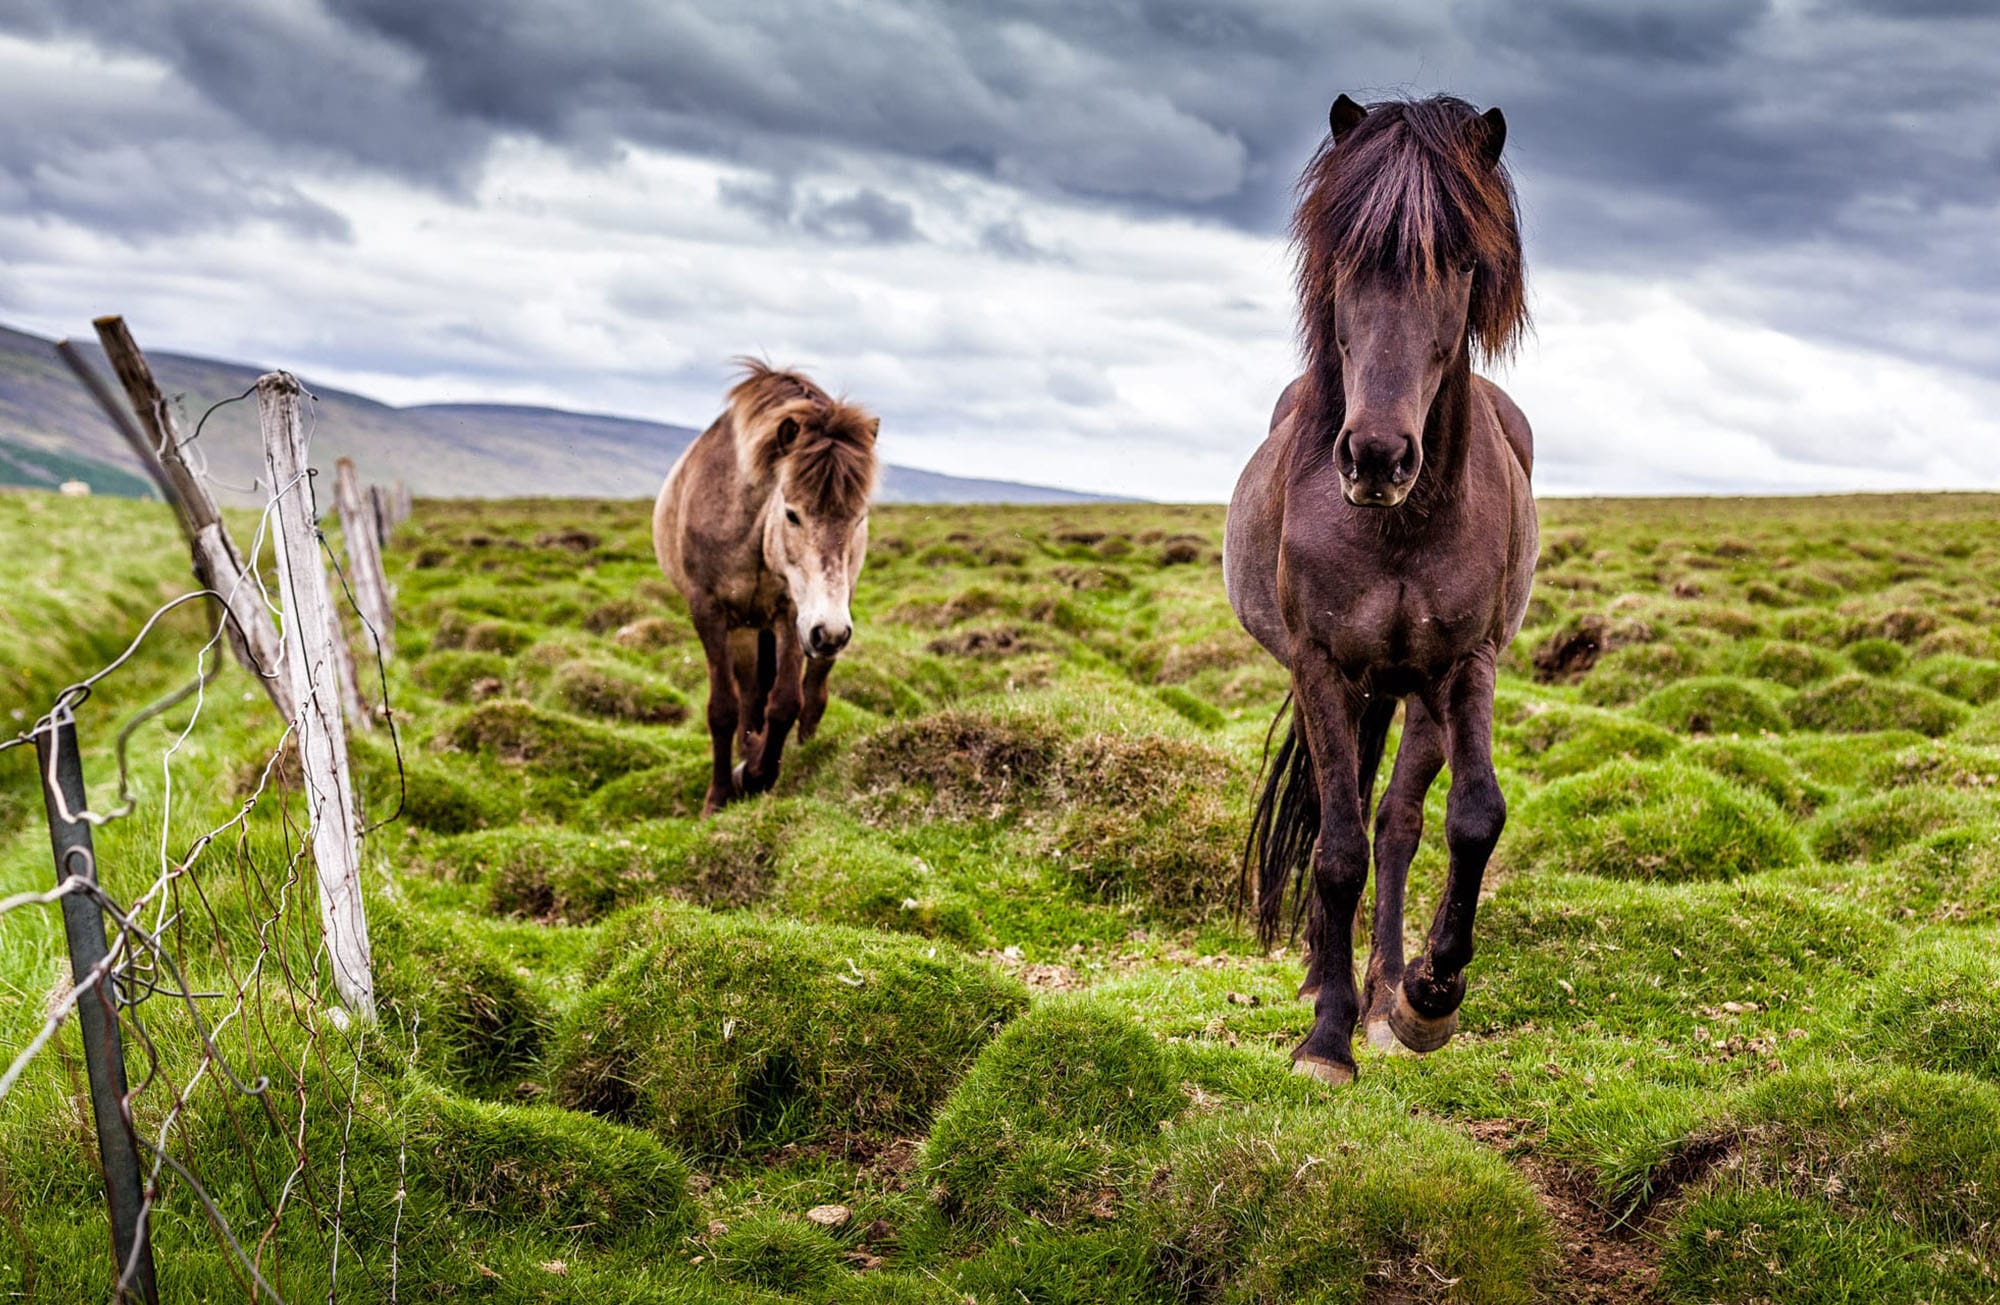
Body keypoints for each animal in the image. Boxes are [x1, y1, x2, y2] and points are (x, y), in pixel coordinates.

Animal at [656, 364, 876, 816]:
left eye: (859, 517)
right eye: (792, 514)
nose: (831, 632)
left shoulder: (791, 613)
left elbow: (786, 701)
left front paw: (757, 774)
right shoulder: (709, 612)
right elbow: (724, 709)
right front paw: (719, 795)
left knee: (809, 693)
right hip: (744, 629)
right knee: (748, 694)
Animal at [1224, 97, 1536, 1088]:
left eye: (1463, 261)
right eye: (1350, 258)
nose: (1376, 456)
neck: (1398, 525)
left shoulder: (1465, 662)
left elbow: (1472, 817)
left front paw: (1428, 994)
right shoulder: (1322, 665)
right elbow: (1333, 851)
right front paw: (1324, 1036)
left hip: (1419, 693)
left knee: (1398, 822)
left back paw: (1387, 990)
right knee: (1347, 819)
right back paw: (1333, 987)